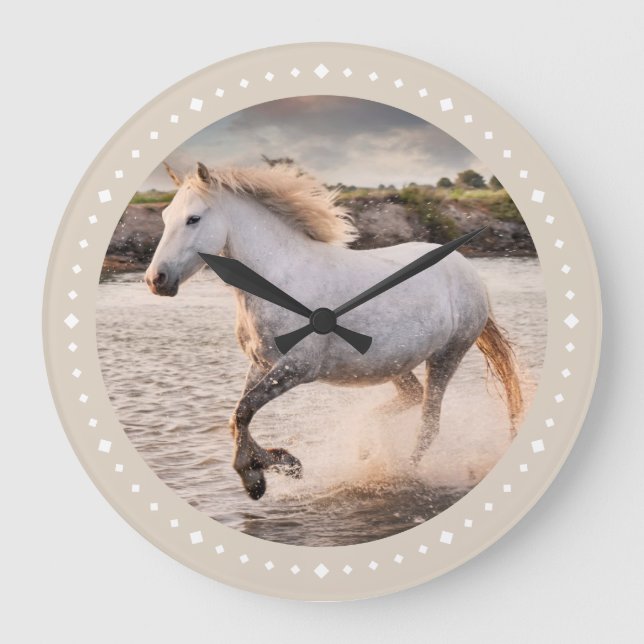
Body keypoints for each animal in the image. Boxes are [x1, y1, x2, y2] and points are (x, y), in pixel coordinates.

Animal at [145, 162, 523, 500]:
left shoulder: (296, 369)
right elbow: (238, 415)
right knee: (411, 398)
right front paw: (281, 465)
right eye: (165, 217)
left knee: (428, 424)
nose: (155, 280)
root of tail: (468, 270)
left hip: (446, 356)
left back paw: (400, 472)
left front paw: (259, 477)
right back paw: (366, 447)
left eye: (193, 218)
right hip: (392, 363)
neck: (279, 282)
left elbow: (243, 410)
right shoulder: (262, 364)